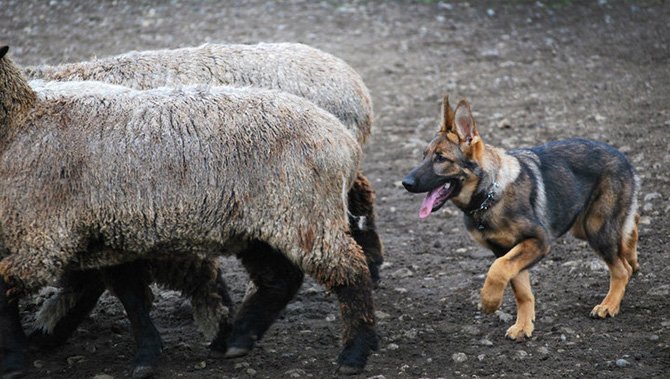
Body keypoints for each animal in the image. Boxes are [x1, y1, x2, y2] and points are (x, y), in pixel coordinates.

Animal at [0, 48, 378, 379]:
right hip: (262, 221)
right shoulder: (107, 232)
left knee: (348, 267)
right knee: (280, 277)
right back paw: (239, 338)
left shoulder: (50, 233)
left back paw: (354, 350)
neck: (25, 119)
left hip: (305, 216)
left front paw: (23, 352)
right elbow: (126, 289)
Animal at [402, 96, 644, 340]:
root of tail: (623, 157)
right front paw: (523, 326)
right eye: (424, 155)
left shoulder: (538, 241)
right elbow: (520, 290)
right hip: (582, 226)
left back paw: (609, 305)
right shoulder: (507, 250)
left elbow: (497, 269)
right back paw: (631, 259)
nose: (405, 183)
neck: (489, 195)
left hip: (596, 227)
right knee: (632, 227)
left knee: (621, 269)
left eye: (440, 158)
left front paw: (489, 301)